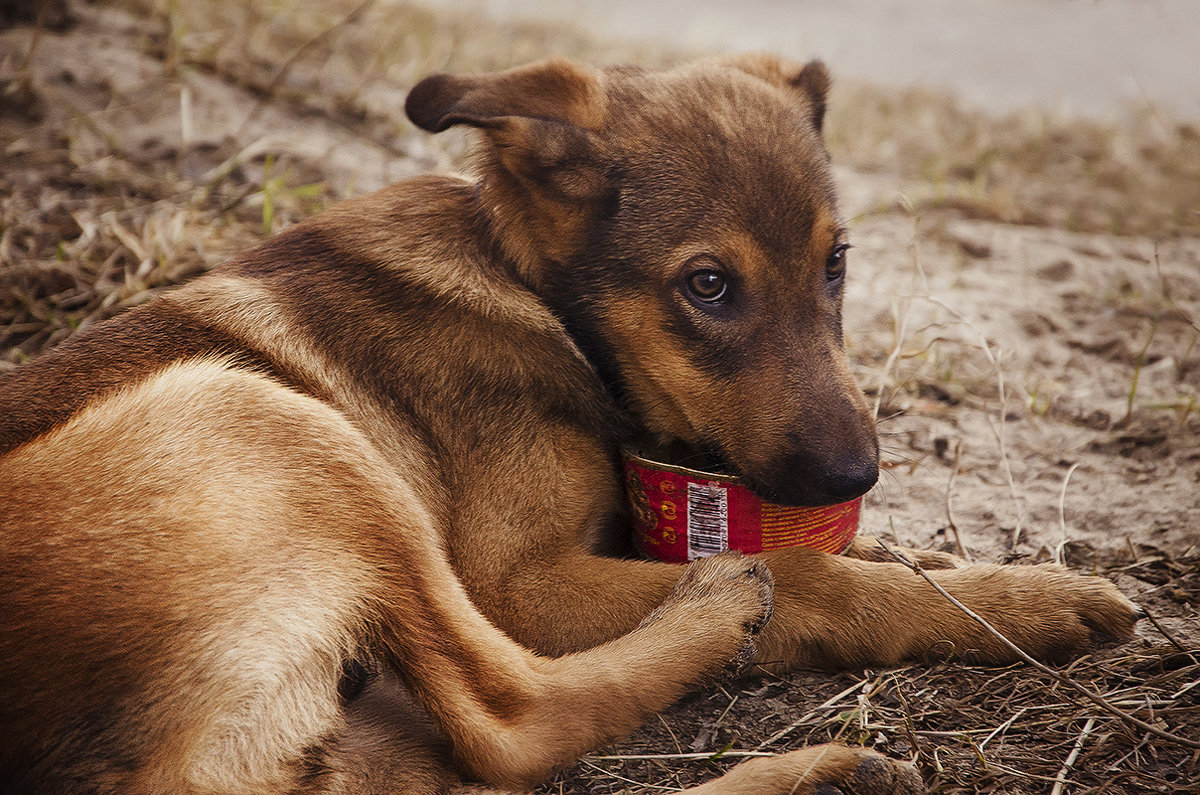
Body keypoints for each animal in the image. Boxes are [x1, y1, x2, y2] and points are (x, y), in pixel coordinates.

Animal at [0, 57, 1132, 795]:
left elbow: (879, 559)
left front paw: (961, 572)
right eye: (708, 285)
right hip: (256, 413)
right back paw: (723, 614)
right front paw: (1023, 599)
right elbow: (818, 572)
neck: (528, 284)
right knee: (516, 724)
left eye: (837, 263)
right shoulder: (518, 584)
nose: (856, 474)